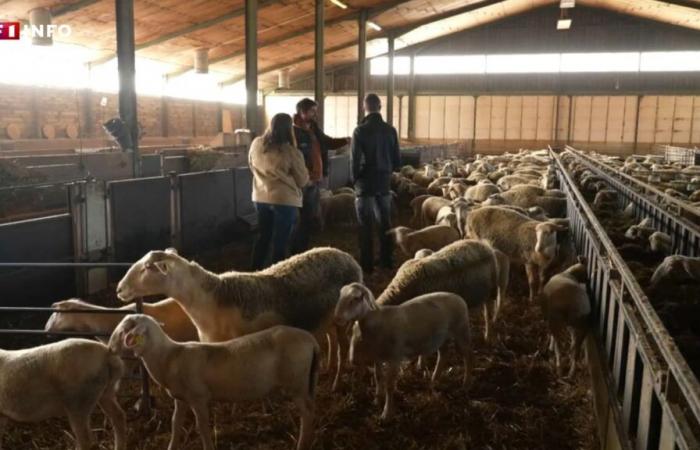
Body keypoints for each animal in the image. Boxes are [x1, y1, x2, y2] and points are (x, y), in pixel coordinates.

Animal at [109, 314, 318, 450]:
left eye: (124, 330)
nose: (110, 349)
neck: (168, 356)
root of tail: (311, 340)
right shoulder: (180, 398)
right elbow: (175, 423)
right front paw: (171, 446)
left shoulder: (199, 398)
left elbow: (202, 427)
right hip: (303, 383)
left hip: (297, 382)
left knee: (308, 413)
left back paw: (302, 444)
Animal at [116, 246, 360, 390]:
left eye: (147, 267)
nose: (119, 288)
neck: (210, 300)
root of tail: (346, 256)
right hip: (328, 318)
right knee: (331, 340)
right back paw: (327, 369)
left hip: (342, 318)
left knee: (342, 345)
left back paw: (337, 381)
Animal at [336, 284, 474, 420]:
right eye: (341, 295)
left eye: (356, 298)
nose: (338, 317)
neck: (378, 322)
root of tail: (458, 297)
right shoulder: (378, 356)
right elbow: (378, 377)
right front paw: (377, 400)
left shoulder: (394, 358)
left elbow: (389, 385)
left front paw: (387, 413)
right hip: (441, 337)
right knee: (443, 354)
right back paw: (434, 379)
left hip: (461, 330)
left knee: (468, 356)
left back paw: (466, 384)